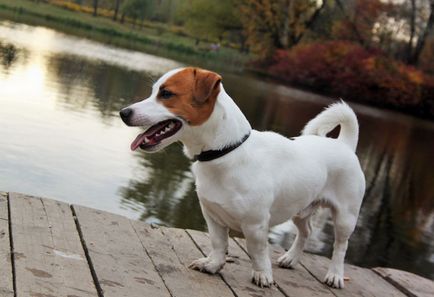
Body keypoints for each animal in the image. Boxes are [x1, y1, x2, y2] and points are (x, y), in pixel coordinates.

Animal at [120, 66, 364, 286]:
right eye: (154, 91)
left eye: (166, 94)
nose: (123, 112)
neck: (225, 152)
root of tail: (344, 144)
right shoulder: (212, 216)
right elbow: (219, 244)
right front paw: (213, 264)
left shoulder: (256, 225)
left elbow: (257, 252)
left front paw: (262, 275)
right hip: (301, 209)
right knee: (306, 232)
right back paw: (291, 258)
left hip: (345, 216)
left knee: (340, 247)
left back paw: (335, 275)